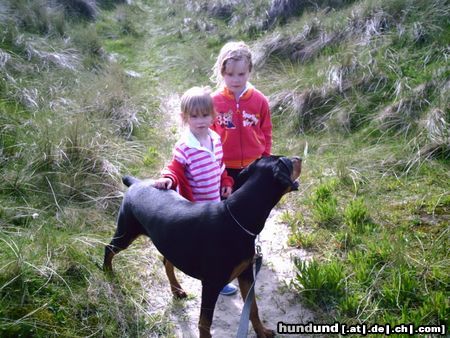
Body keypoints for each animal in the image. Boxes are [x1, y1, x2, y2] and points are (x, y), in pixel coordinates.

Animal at [103, 156, 302, 338]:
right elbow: (204, 322)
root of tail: (137, 183)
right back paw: (107, 272)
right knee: (108, 249)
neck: (238, 216)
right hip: (126, 232)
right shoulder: (211, 284)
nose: (299, 158)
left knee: (166, 262)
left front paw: (262, 331)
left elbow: (252, 307)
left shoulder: (246, 273)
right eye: (286, 161)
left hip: (170, 243)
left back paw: (176, 289)